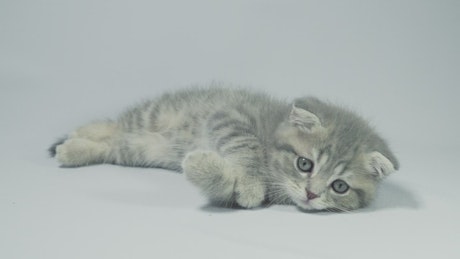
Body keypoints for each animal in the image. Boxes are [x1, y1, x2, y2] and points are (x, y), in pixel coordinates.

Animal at [48, 87, 398, 211]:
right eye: (304, 164)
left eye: (340, 187)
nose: (311, 194)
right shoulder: (231, 117)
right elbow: (247, 148)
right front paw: (251, 182)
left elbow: (223, 187)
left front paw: (202, 166)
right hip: (153, 115)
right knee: (113, 124)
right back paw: (77, 136)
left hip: (137, 150)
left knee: (113, 143)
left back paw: (74, 147)